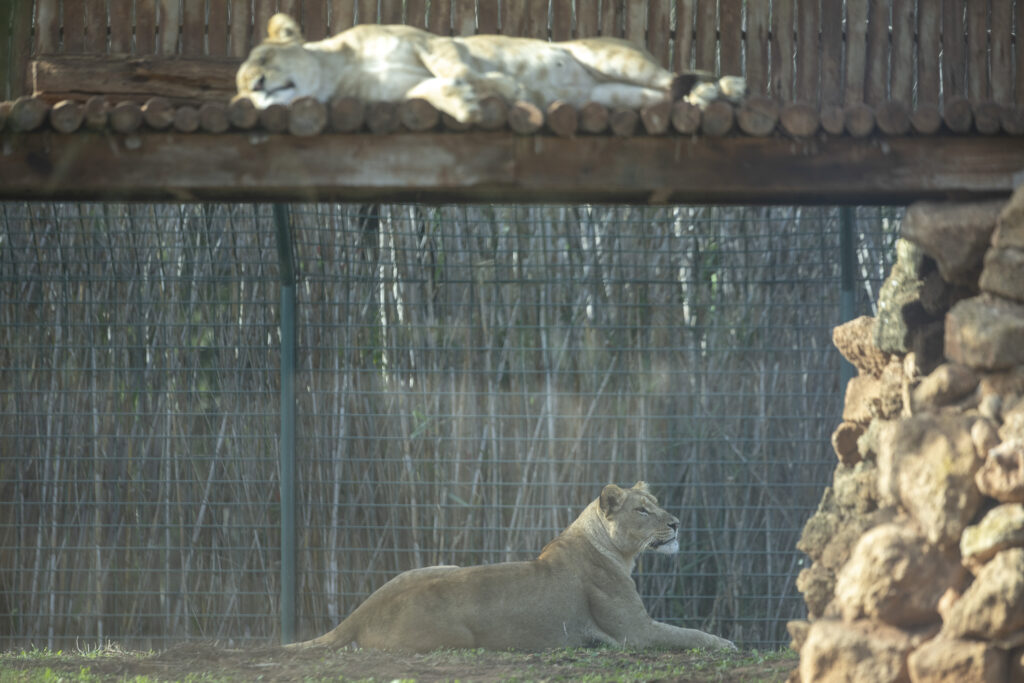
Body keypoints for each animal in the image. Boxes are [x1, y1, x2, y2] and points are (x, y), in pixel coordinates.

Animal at [288, 483, 737, 655]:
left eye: (656, 503)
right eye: (643, 510)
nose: (676, 523)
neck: (613, 550)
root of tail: (360, 613)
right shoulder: (635, 633)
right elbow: (689, 634)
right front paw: (728, 644)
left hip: (435, 566)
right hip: (455, 640)